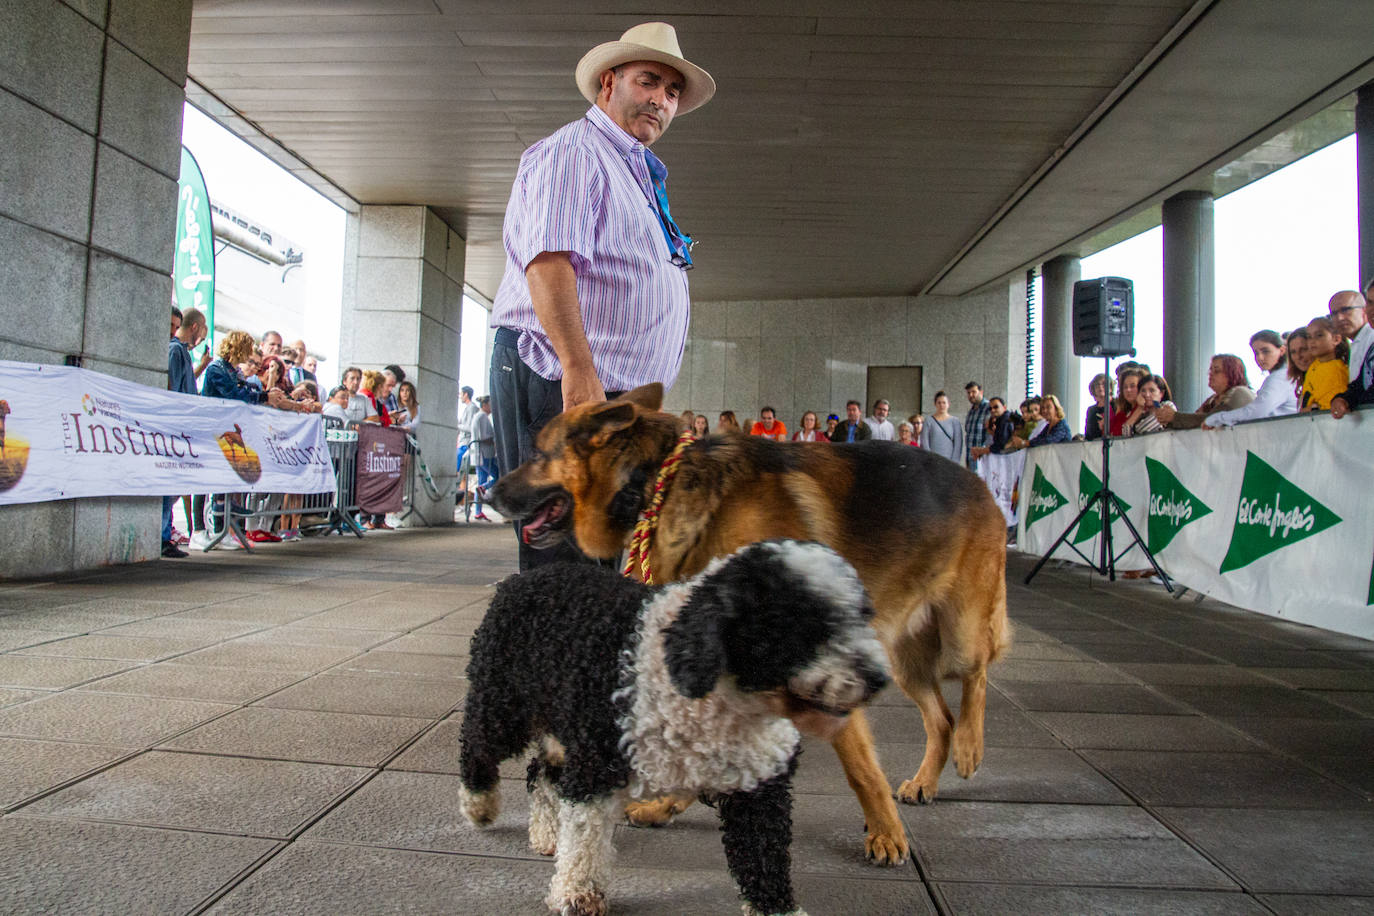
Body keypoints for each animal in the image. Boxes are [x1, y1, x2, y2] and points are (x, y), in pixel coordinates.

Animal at [461, 541, 890, 911]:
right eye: (802, 625)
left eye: (863, 615)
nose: (878, 678)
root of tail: (521, 579)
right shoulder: (598, 764)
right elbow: (585, 838)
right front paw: (578, 894)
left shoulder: (759, 787)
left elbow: (763, 859)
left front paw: (777, 909)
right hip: (503, 703)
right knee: (477, 746)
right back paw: (480, 805)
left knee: (542, 772)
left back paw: (547, 834)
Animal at [486, 384, 1011, 867]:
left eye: (537, 456)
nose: (489, 493)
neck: (653, 483)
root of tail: (981, 484)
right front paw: (668, 803)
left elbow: (860, 764)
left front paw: (885, 832)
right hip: (904, 660)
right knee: (940, 718)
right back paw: (925, 780)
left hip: (959, 633)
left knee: (977, 676)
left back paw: (970, 747)